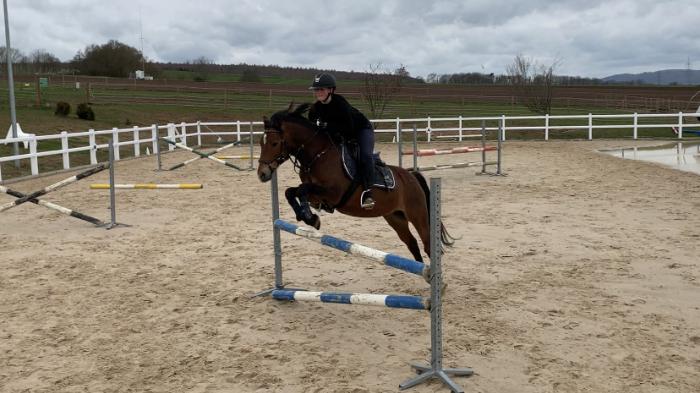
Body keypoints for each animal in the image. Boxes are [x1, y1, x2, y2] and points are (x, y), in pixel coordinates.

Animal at [258, 102, 454, 262]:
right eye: (261, 143)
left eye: (274, 143)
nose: (262, 174)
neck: (319, 155)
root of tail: (412, 176)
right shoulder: (317, 196)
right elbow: (292, 191)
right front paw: (307, 216)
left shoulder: (333, 193)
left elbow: (301, 190)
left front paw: (311, 218)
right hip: (395, 216)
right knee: (412, 243)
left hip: (417, 214)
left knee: (428, 244)